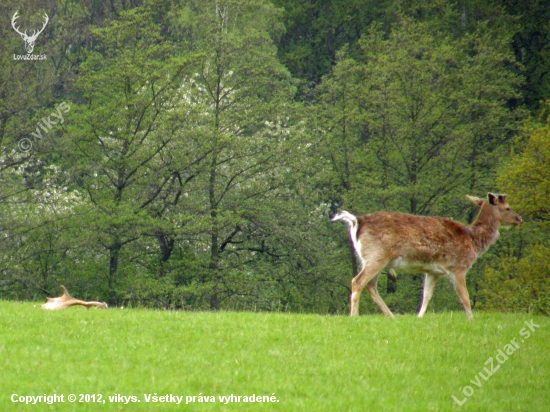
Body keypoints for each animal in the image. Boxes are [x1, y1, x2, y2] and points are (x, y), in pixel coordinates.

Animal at [334, 193, 524, 318]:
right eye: (508, 208)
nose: (519, 219)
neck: (473, 241)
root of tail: (357, 221)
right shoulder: (458, 267)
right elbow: (465, 297)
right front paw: (471, 319)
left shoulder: (433, 271)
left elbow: (426, 295)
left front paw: (419, 317)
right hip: (376, 255)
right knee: (357, 281)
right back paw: (354, 316)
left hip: (374, 259)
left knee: (370, 284)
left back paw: (391, 316)